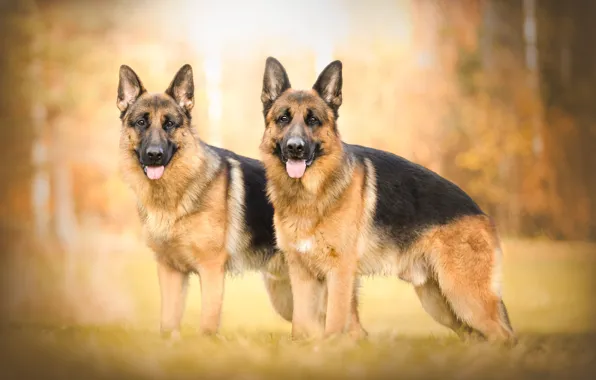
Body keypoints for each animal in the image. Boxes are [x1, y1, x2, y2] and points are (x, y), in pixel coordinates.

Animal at [117, 63, 298, 336]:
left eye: (169, 124)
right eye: (141, 122)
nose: (154, 155)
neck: (175, 195)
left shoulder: (211, 270)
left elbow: (207, 325)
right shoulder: (170, 272)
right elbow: (167, 324)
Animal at [258, 57, 516, 344]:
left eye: (313, 120)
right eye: (283, 118)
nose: (295, 148)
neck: (312, 194)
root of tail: (481, 213)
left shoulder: (340, 274)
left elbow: (334, 324)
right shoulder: (302, 276)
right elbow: (301, 329)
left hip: (465, 296)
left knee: (504, 336)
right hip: (440, 303)